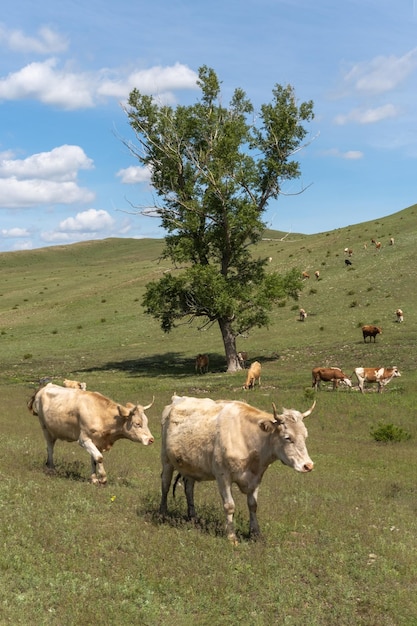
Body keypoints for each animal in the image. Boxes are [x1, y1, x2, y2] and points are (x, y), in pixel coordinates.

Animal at [159, 394, 316, 540]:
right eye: (287, 437)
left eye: (306, 436)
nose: (308, 465)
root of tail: (177, 398)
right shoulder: (223, 476)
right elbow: (229, 506)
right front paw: (231, 536)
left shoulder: (256, 477)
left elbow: (253, 505)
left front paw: (255, 533)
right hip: (166, 460)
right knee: (165, 485)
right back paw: (162, 514)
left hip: (190, 465)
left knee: (189, 488)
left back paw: (193, 517)